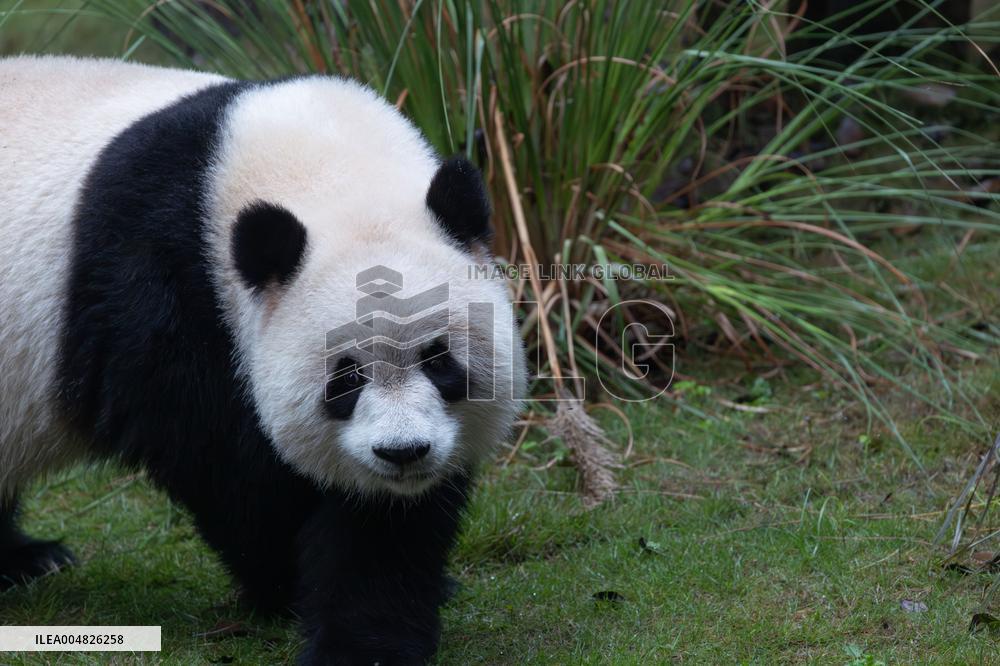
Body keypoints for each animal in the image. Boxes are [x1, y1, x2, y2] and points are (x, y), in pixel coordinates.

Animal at [0, 56, 526, 664]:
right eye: (346, 376)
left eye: (439, 361)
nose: (402, 453)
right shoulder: (154, 289)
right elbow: (222, 461)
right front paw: (288, 588)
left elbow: (391, 520)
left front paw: (373, 631)